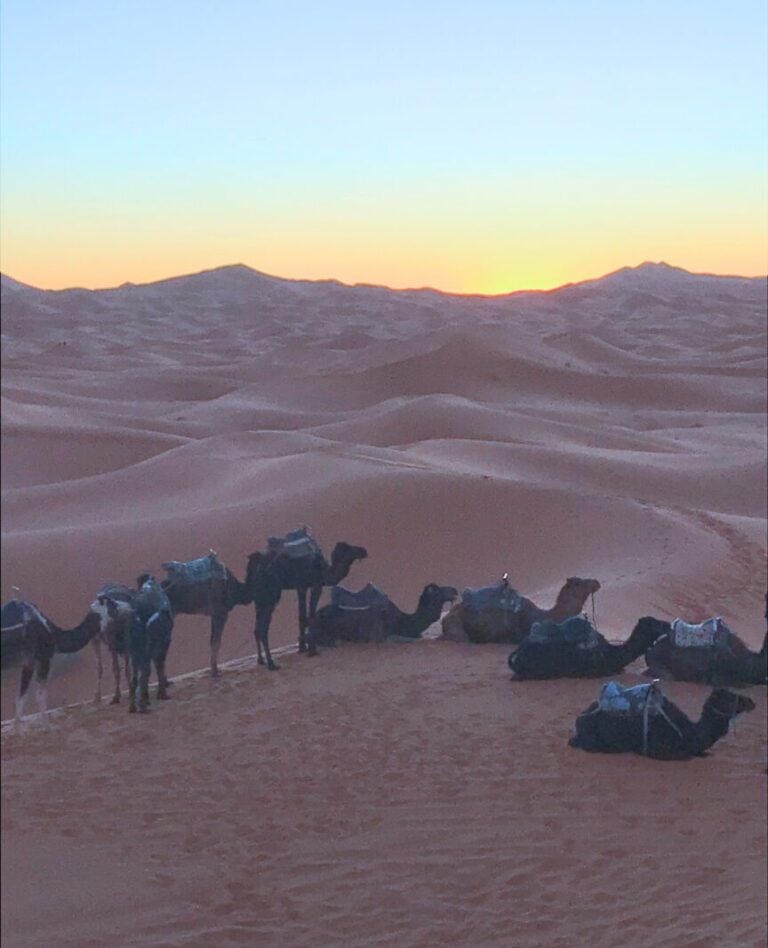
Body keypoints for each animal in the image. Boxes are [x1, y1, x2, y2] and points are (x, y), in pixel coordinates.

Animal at [1, 594, 101, 730]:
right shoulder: (43, 659)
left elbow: (21, 697)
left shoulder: (29, 664)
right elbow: (41, 695)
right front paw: (47, 726)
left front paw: (17, 731)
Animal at [251, 536, 368, 669]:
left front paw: (302, 649)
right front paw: (312, 651)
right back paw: (271, 664)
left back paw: (261, 660)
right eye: (347, 548)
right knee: (263, 628)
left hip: (260, 597)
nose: (364, 551)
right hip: (271, 594)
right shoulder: (316, 585)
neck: (324, 571)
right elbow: (311, 616)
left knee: (256, 628)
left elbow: (301, 616)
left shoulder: (301, 586)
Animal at [568, 684, 755, 760]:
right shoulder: (660, 751)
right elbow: (687, 757)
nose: (751, 701)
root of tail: (580, 716)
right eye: (729, 697)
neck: (690, 733)